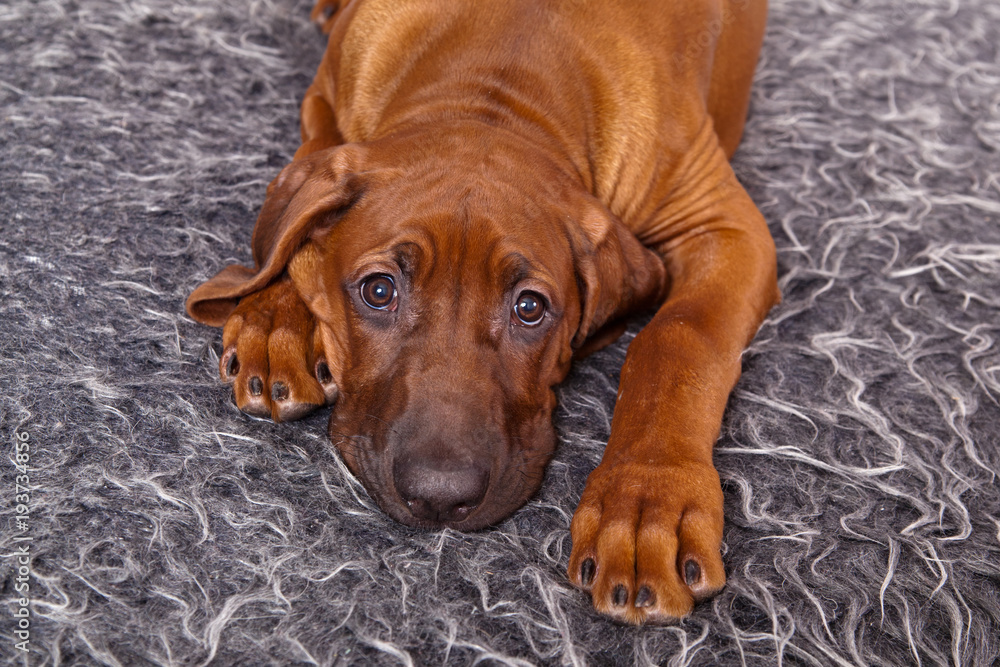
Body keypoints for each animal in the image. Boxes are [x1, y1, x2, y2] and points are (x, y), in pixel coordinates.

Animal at [189, 0, 780, 628]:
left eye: (530, 308)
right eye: (379, 291)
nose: (439, 496)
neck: (501, 83)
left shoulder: (726, 224)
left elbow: (676, 337)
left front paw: (647, 501)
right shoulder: (324, 100)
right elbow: (300, 209)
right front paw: (276, 319)